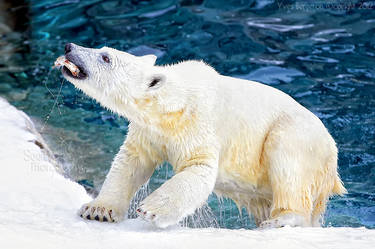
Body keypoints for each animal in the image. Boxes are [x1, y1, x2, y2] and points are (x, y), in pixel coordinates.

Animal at [59, 42, 346, 228]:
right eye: (101, 49)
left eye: (105, 57)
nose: (69, 46)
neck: (171, 105)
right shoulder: (148, 130)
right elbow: (131, 161)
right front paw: (98, 210)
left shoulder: (198, 122)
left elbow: (199, 168)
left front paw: (151, 210)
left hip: (299, 138)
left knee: (288, 164)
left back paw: (281, 219)